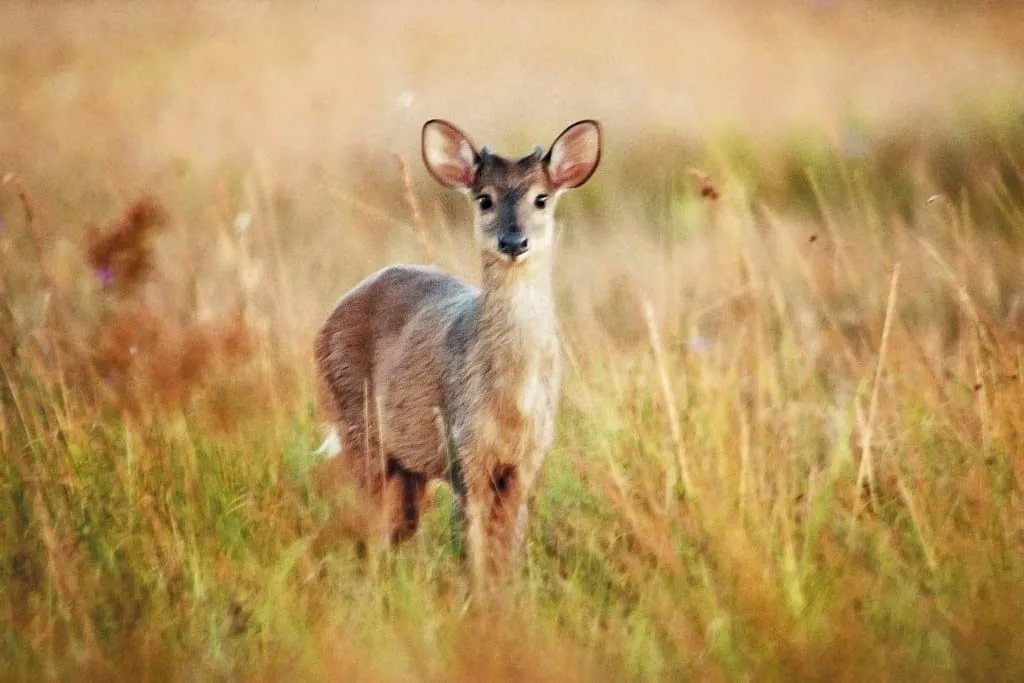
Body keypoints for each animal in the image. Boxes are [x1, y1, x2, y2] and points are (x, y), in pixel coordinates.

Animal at [311, 117, 598, 589]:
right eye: (485, 199)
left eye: (541, 198)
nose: (513, 241)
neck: (511, 404)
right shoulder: (463, 448)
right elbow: (473, 545)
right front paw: (477, 596)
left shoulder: (528, 458)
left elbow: (509, 544)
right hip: (357, 425)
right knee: (371, 527)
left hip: (406, 465)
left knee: (397, 527)